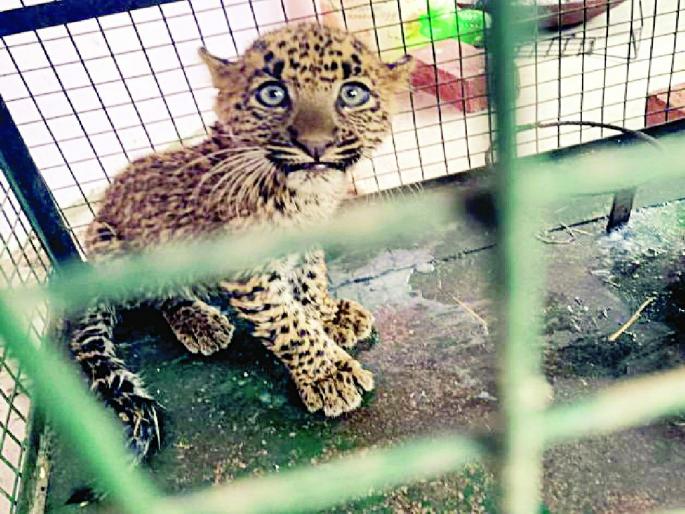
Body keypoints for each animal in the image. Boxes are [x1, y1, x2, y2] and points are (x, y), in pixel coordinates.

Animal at [66, 22, 414, 464]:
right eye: (272, 94)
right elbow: (288, 325)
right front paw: (328, 375)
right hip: (108, 241)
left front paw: (330, 315)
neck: (305, 198)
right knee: (158, 295)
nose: (316, 145)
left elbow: (311, 279)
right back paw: (199, 321)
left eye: (353, 94)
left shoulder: (305, 243)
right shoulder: (249, 273)